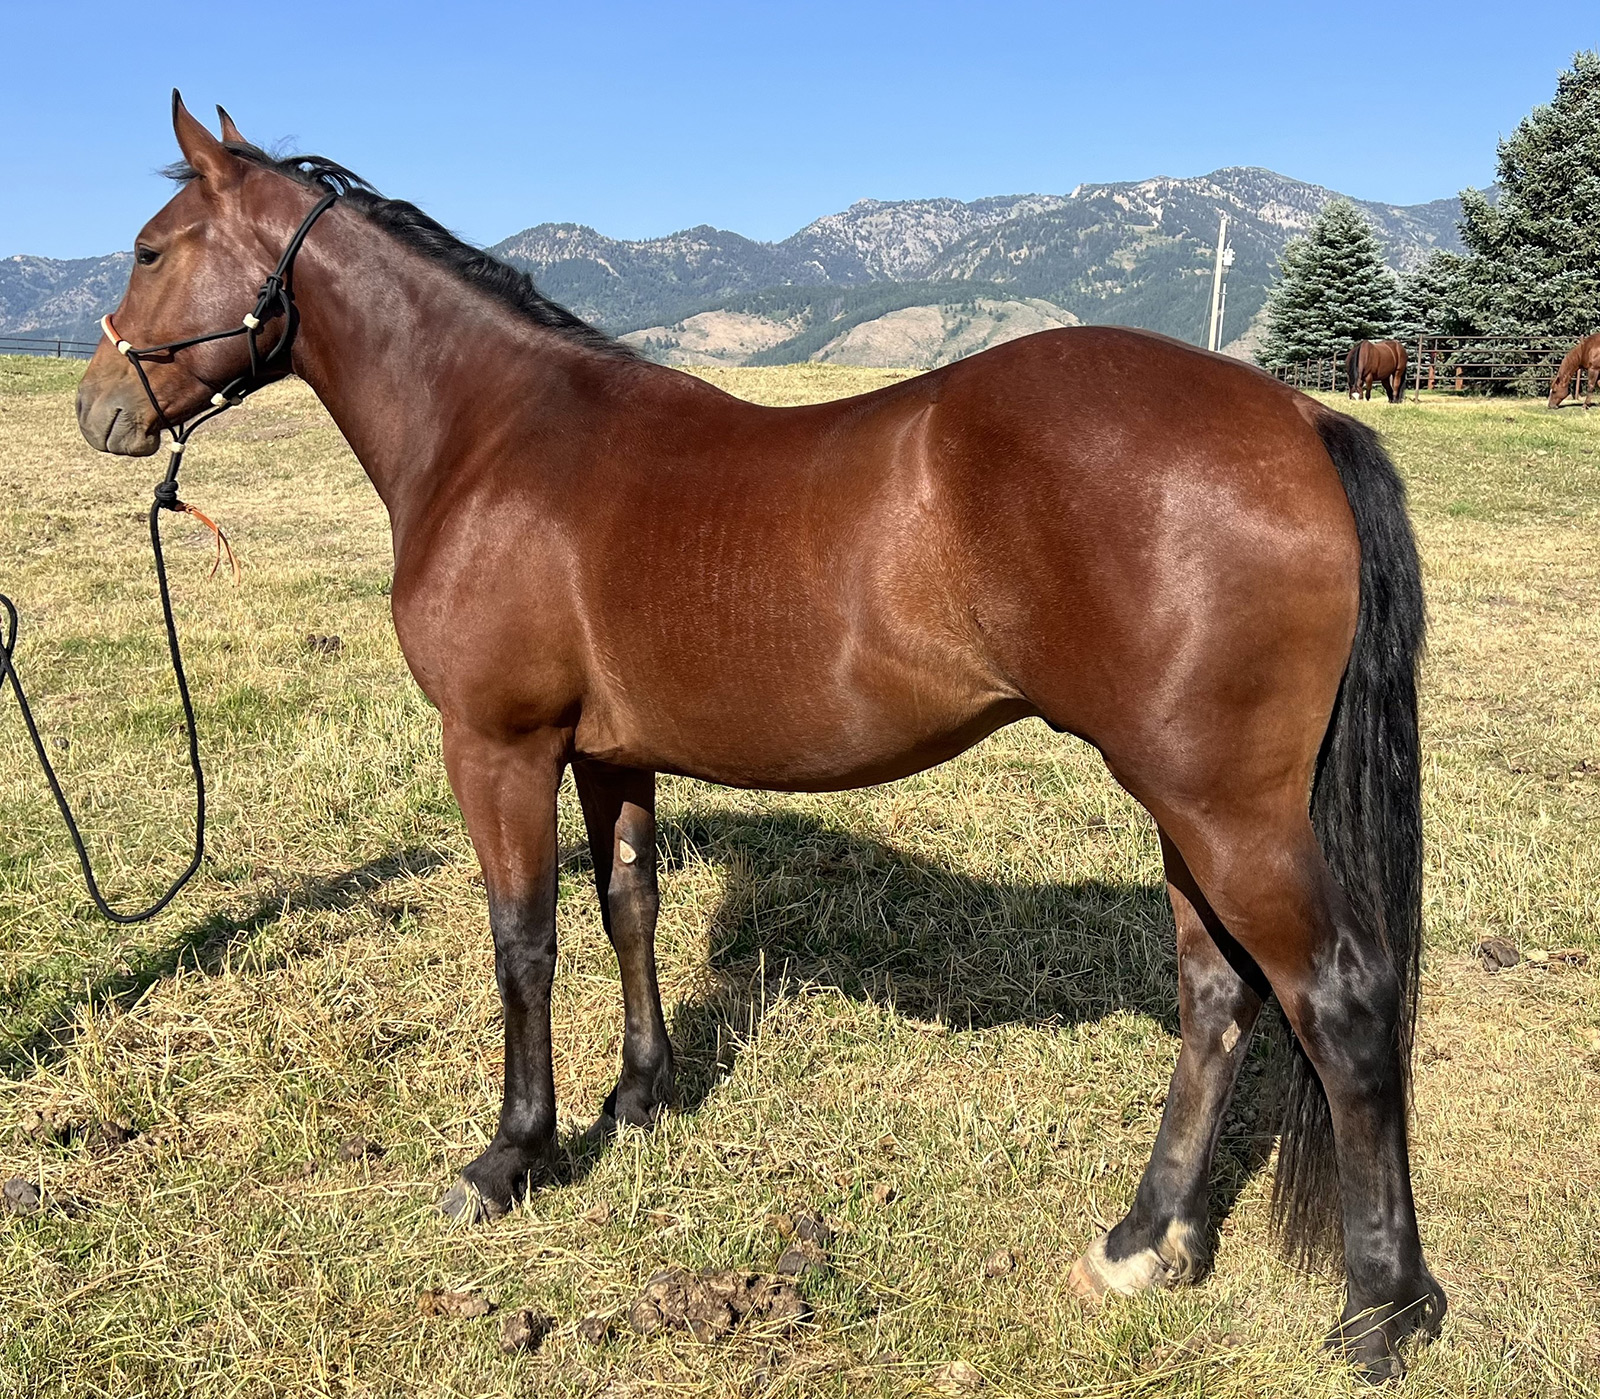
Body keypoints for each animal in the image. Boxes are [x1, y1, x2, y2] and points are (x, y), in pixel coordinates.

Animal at [74, 96, 1443, 1380]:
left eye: (148, 248)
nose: (97, 409)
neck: (498, 437)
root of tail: (1297, 420)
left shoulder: (499, 745)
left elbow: (524, 941)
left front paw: (512, 1154)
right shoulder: (609, 752)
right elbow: (628, 906)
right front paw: (640, 1097)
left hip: (1224, 807)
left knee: (1340, 999)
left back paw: (1382, 1310)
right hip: (1189, 805)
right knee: (1218, 995)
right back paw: (1144, 1241)